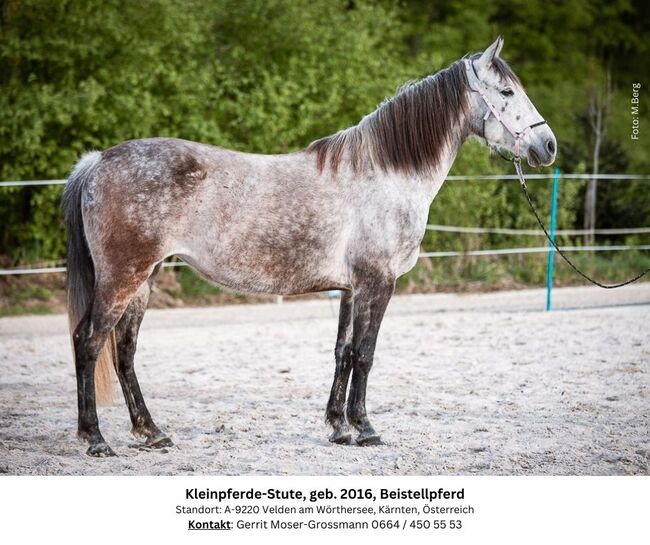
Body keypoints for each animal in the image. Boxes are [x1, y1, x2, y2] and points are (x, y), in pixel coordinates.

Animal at [63, 36, 556, 456]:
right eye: (507, 92)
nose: (548, 145)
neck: (385, 173)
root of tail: (98, 161)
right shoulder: (378, 282)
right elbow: (365, 354)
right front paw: (365, 428)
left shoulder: (351, 288)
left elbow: (343, 353)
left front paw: (339, 427)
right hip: (123, 279)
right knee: (89, 342)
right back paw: (96, 439)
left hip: (143, 280)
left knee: (123, 352)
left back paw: (152, 433)